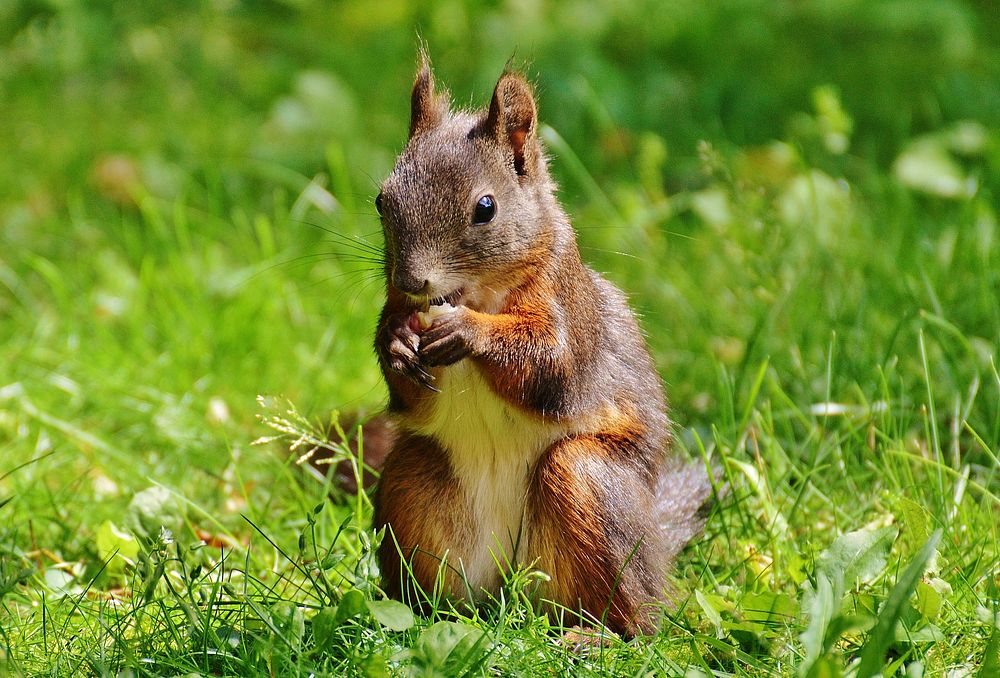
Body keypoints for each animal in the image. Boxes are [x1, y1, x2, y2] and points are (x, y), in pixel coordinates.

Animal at [372, 53, 716, 636]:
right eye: (381, 200)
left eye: (486, 207)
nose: (412, 281)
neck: (479, 294)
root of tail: (509, 591)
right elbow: (409, 392)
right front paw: (396, 342)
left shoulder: (569, 311)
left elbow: (551, 363)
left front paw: (469, 331)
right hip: (411, 482)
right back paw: (425, 617)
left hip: (589, 484)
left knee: (641, 622)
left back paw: (599, 637)